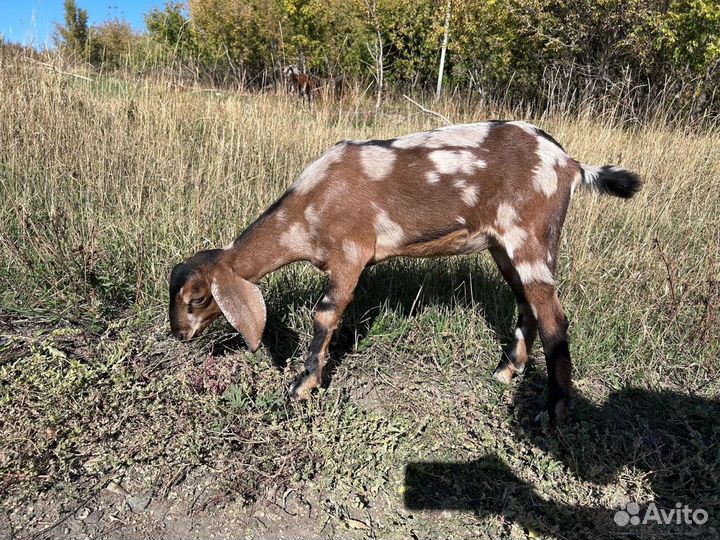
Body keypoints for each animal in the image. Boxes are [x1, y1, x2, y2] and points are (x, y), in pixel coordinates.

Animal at [170, 121, 640, 422]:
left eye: (198, 298)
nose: (179, 334)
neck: (306, 210)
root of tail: (570, 163)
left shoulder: (349, 255)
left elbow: (325, 316)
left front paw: (302, 385)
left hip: (531, 236)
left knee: (555, 319)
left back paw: (552, 411)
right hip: (506, 246)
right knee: (528, 305)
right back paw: (506, 372)